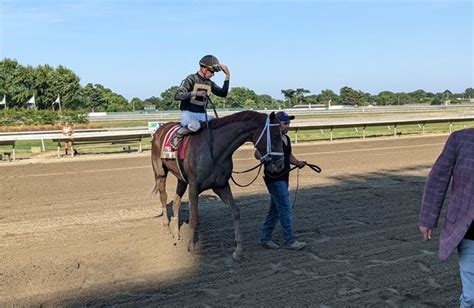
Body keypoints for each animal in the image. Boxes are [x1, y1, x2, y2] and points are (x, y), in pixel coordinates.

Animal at [151, 110, 286, 260]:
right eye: (276, 136)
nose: (281, 165)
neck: (214, 150)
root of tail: (160, 129)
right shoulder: (194, 186)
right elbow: (193, 216)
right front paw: (191, 247)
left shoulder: (221, 185)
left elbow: (235, 211)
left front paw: (238, 250)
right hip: (160, 173)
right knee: (163, 197)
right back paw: (167, 228)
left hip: (181, 178)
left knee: (176, 201)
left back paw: (176, 234)